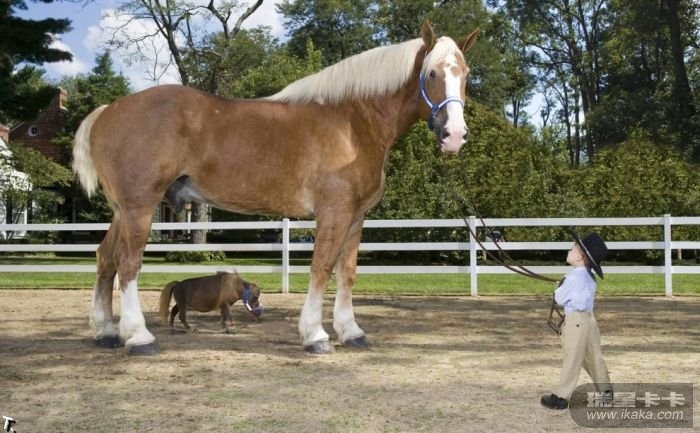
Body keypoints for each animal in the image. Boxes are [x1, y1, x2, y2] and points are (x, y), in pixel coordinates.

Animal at [72, 20, 479, 355]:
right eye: (431, 73)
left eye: (465, 74)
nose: (454, 136)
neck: (352, 122)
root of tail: (107, 111)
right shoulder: (334, 212)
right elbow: (322, 267)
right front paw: (315, 335)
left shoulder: (356, 216)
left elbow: (346, 272)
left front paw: (351, 332)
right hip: (140, 207)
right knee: (128, 264)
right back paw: (139, 337)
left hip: (122, 211)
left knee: (105, 259)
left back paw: (106, 332)